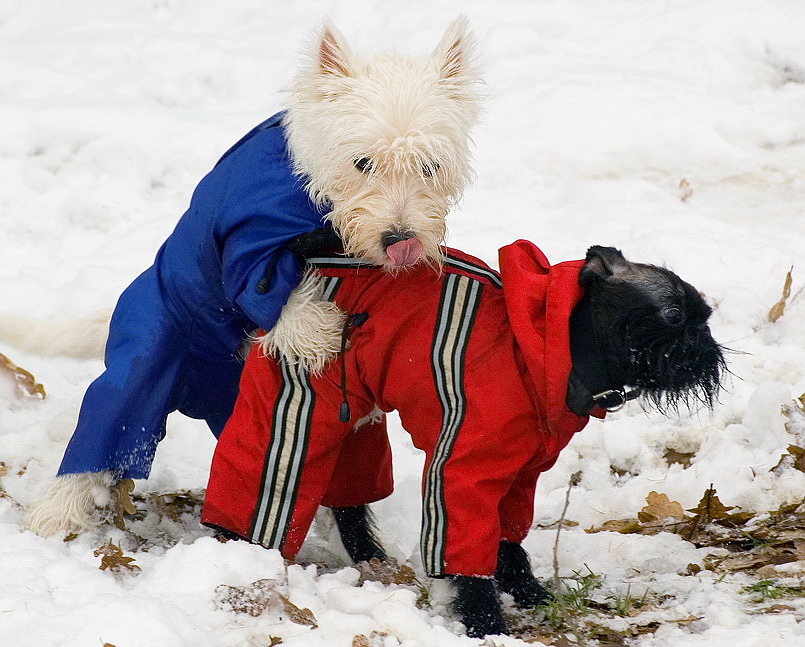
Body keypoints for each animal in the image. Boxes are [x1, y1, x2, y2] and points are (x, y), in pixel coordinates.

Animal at [22, 17, 480, 540]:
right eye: (362, 162)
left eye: (431, 165)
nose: (399, 239)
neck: (310, 193)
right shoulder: (245, 245)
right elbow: (264, 288)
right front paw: (316, 333)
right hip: (147, 355)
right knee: (108, 425)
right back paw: (51, 516)